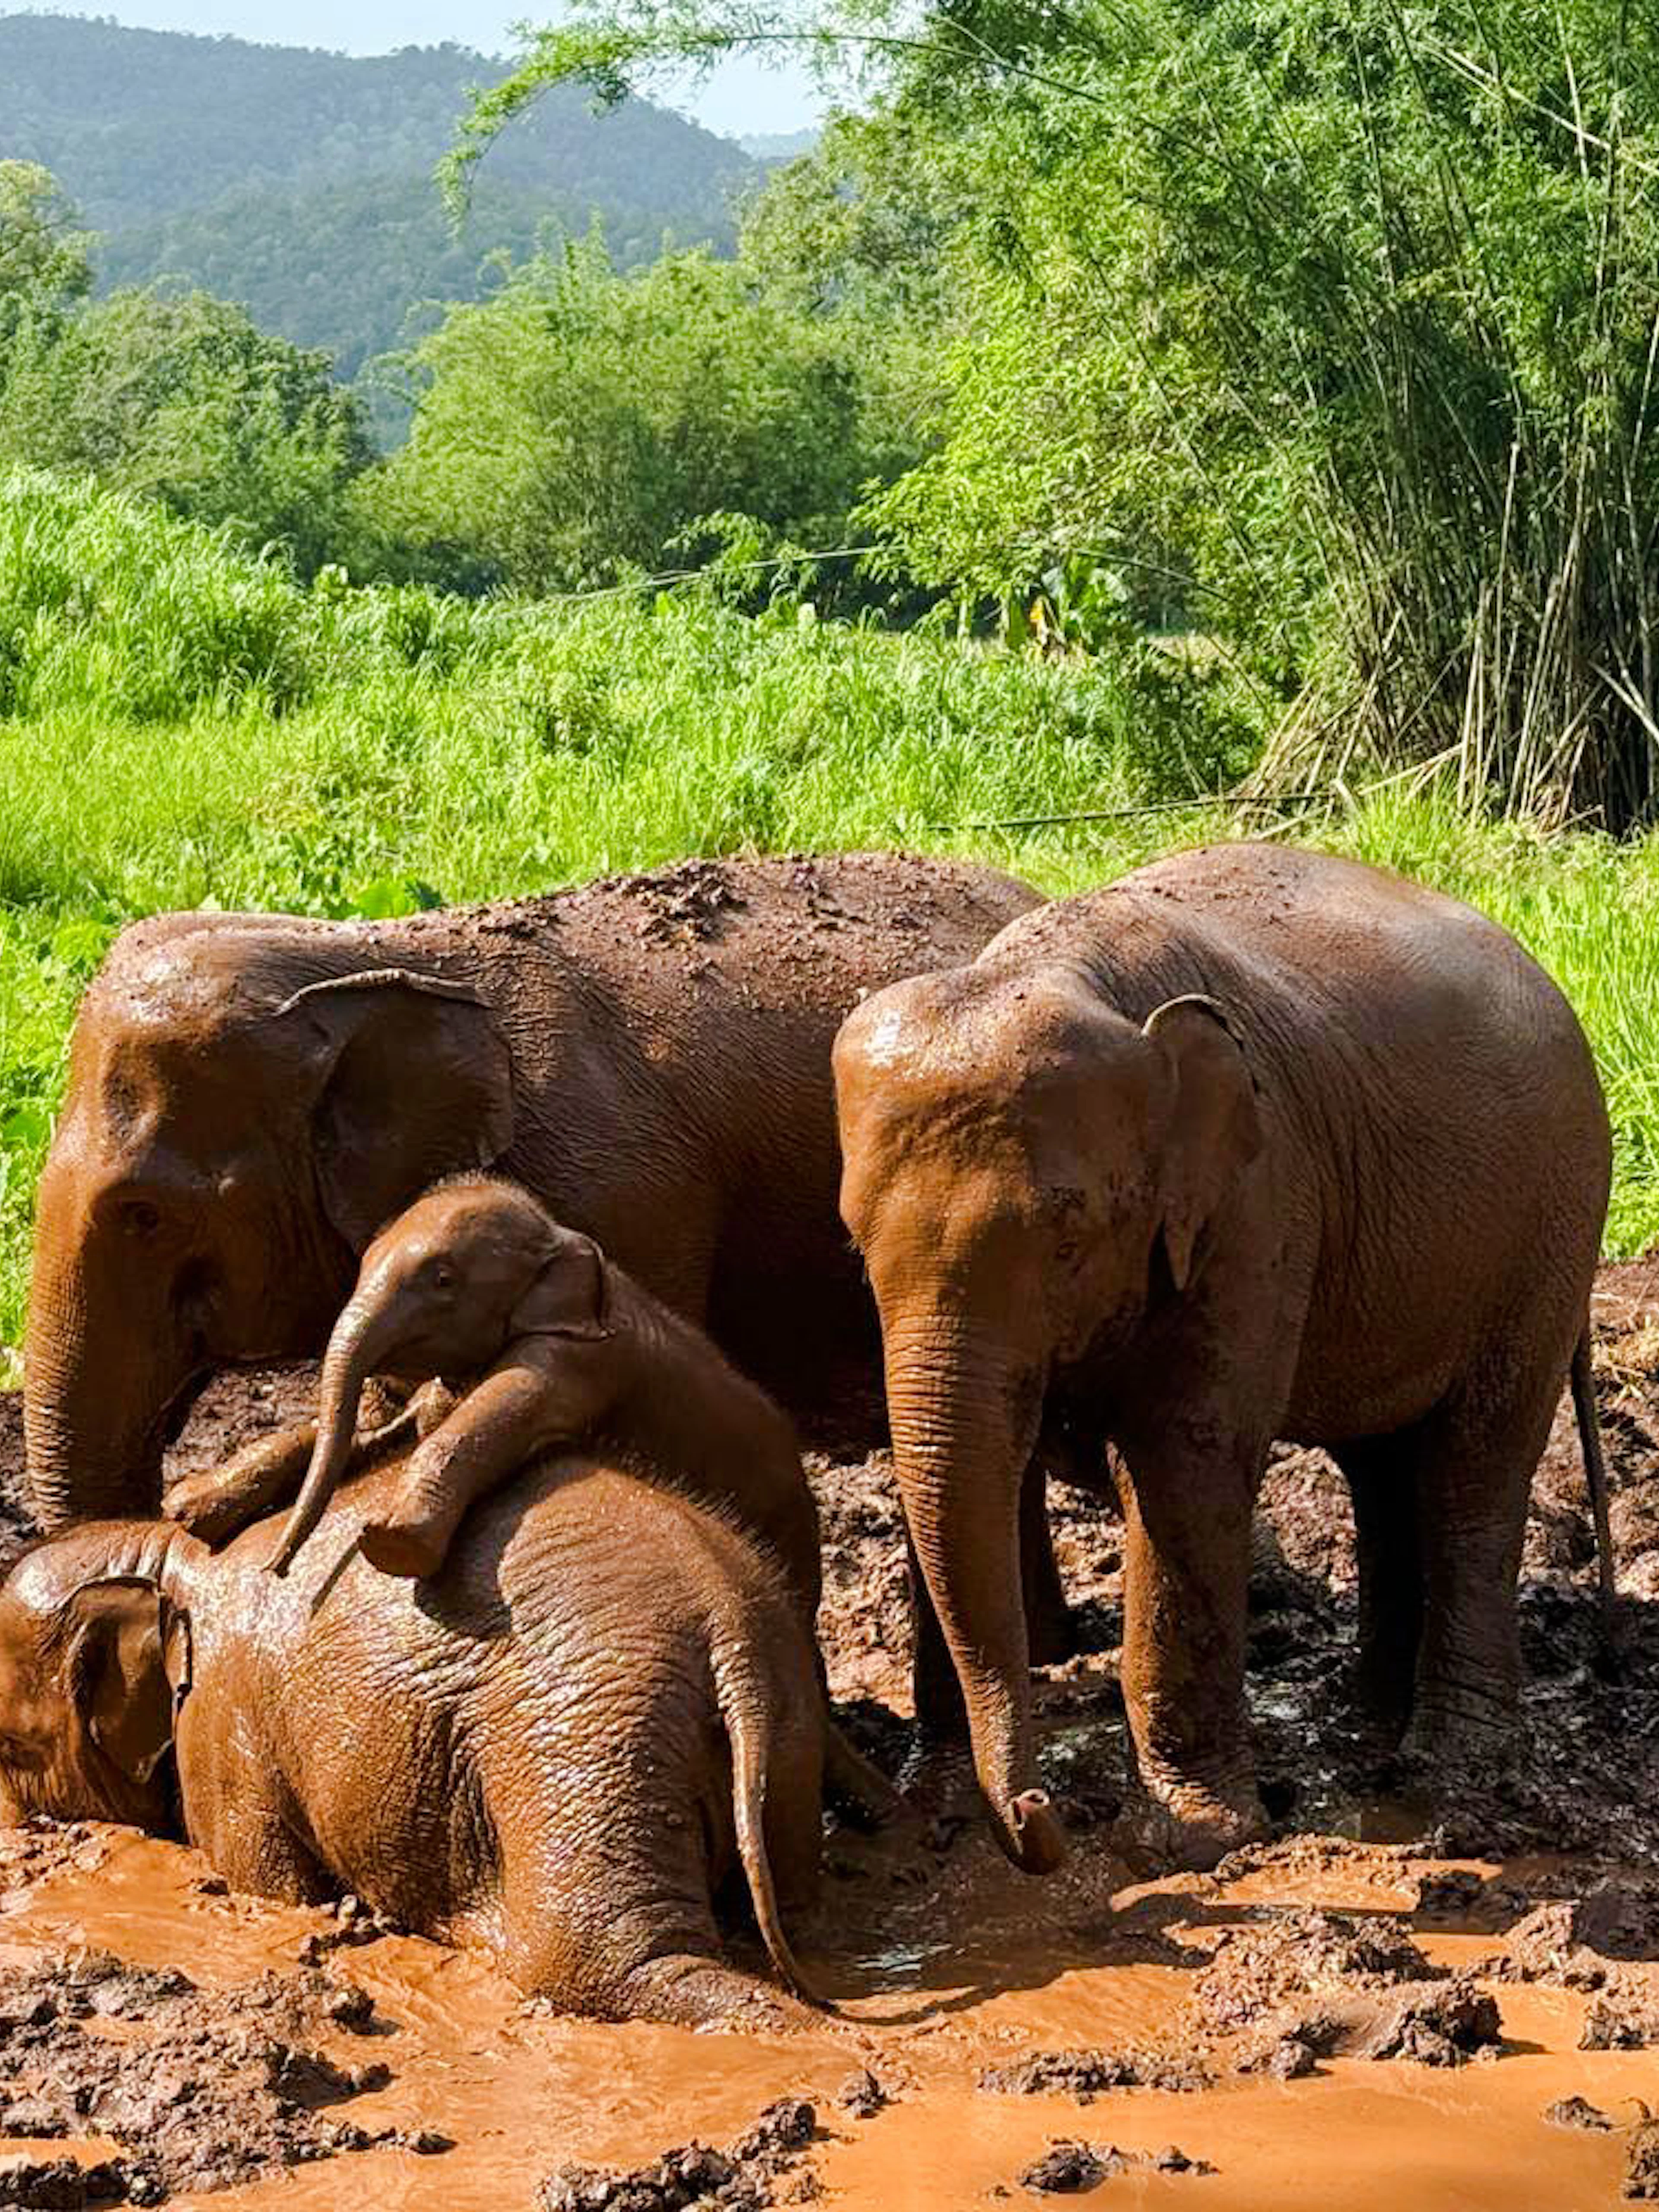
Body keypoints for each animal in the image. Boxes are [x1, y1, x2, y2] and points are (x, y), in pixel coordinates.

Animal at [0, 1448, 834, 2028]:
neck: (161, 1553)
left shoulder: (221, 1741)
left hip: (587, 1745)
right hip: (785, 1730)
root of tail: (724, 1625)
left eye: (9, 1747)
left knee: (605, 1964)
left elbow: (274, 1886)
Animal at [833, 842, 1612, 1877]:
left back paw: (1455, 1771)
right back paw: (1365, 1724)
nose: (1041, 1813)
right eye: (852, 1239)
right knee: (1383, 1467)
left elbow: (1187, 1463)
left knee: (1474, 1466)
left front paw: (1192, 1841)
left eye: (1069, 1234)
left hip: (1549, 1229)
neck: (1063, 970)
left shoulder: (1257, 1198)